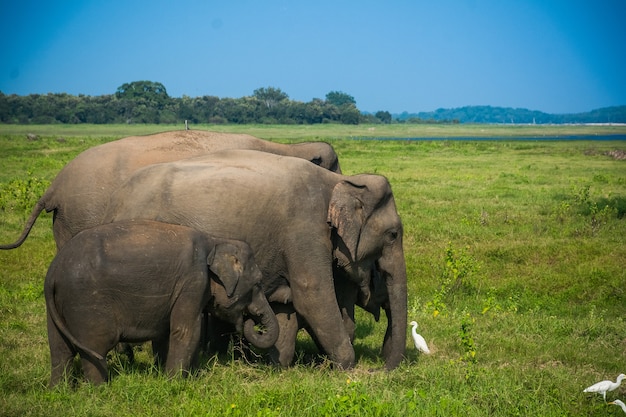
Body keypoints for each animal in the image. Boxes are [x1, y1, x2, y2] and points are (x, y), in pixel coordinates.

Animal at [45, 219, 276, 386]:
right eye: (258, 283)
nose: (252, 320)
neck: (215, 240)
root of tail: (54, 269)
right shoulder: (193, 282)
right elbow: (187, 331)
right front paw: (174, 384)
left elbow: (167, 332)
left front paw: (177, 376)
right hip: (86, 303)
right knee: (95, 348)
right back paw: (99, 390)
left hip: (58, 303)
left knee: (60, 350)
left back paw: (60, 391)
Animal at [100, 149, 408, 368]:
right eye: (393, 234)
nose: (382, 368)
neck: (337, 182)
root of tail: (114, 201)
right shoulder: (304, 229)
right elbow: (313, 296)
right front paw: (345, 367)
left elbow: (291, 306)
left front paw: (280, 366)